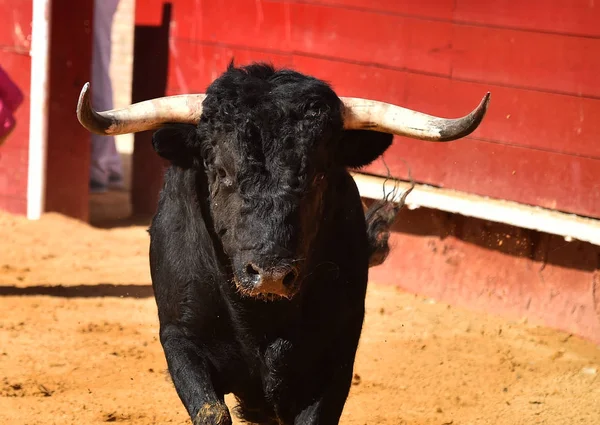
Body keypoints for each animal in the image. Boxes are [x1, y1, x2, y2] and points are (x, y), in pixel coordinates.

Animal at [76, 61, 488, 422]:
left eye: (320, 175)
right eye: (220, 171)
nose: (271, 275)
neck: (261, 318)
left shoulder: (338, 351)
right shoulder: (180, 338)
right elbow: (212, 412)